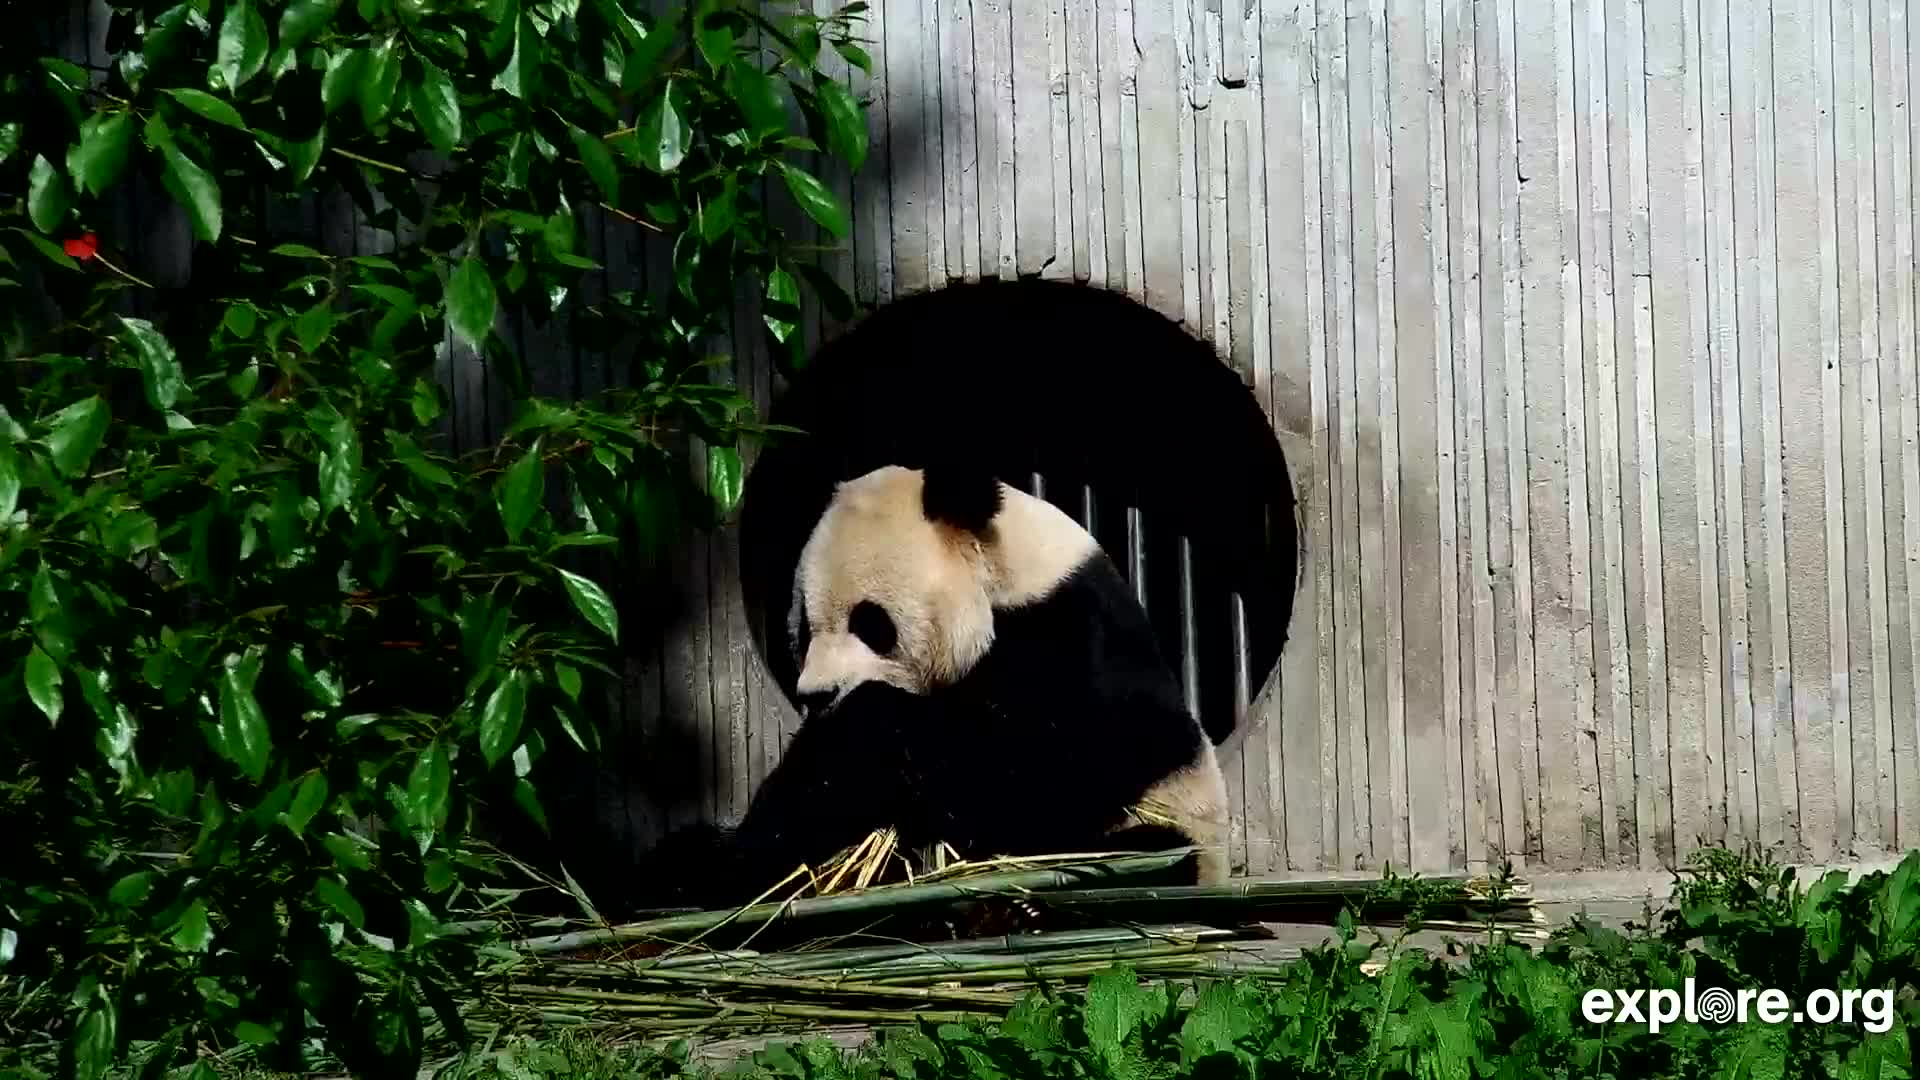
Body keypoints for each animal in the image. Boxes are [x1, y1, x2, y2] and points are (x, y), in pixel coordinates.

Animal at [660, 457, 1228, 903]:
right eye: (802, 626)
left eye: (871, 623)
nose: (818, 696)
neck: (1008, 577)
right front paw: (718, 863)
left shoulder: (1075, 648)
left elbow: (1030, 778)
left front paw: (865, 727)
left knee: (1144, 858)